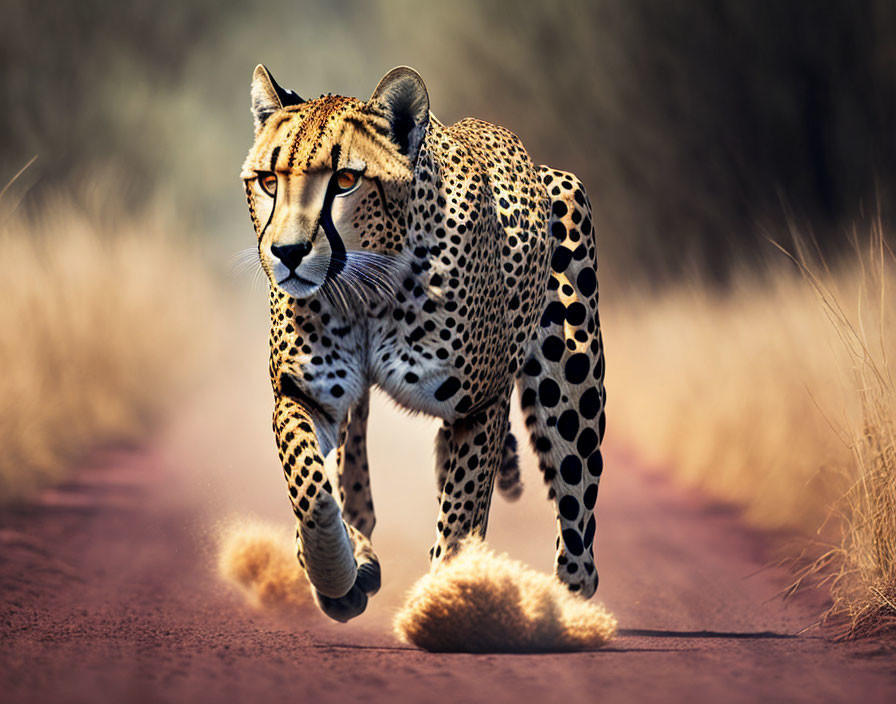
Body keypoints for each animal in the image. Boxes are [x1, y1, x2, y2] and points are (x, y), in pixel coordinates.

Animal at [242, 64, 604, 620]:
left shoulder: (480, 406)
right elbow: (311, 488)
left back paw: (570, 604)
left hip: (569, 383)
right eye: (268, 181)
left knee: (578, 523)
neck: (365, 292)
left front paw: (447, 603)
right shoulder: (305, 394)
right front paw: (334, 575)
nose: (287, 253)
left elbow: (460, 518)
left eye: (344, 180)